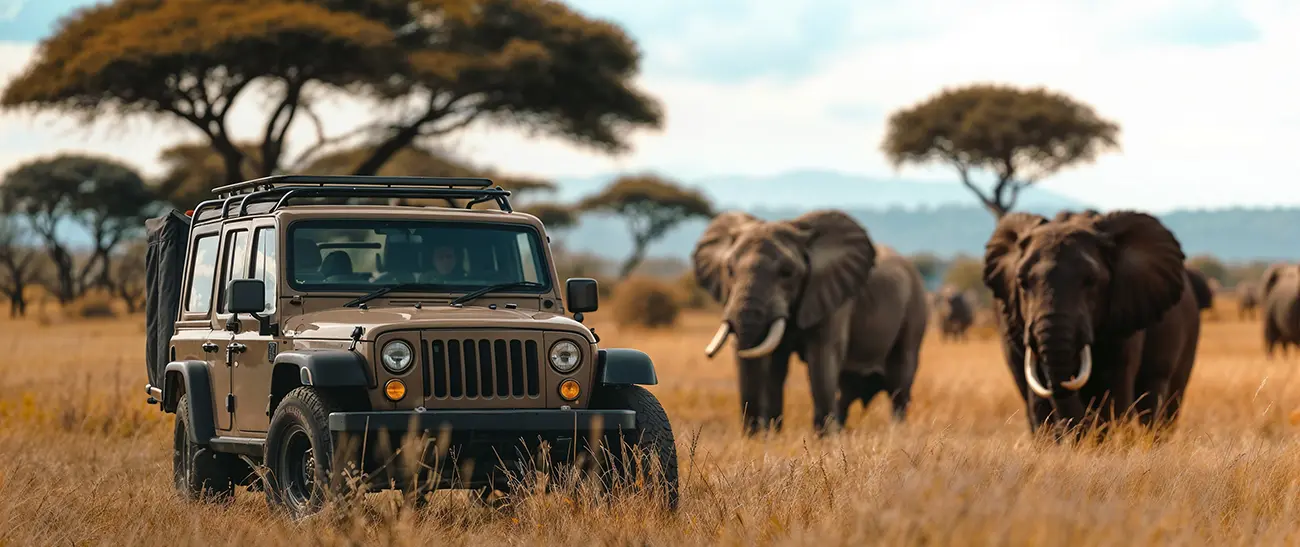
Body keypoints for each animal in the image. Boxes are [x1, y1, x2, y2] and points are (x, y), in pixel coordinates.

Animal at [696, 209, 930, 433]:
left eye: (787, 272)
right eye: (729, 270)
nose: (752, 433)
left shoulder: (833, 298)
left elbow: (822, 358)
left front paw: (823, 439)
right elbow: (774, 366)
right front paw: (772, 436)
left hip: (916, 309)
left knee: (899, 383)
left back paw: (895, 431)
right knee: (847, 390)